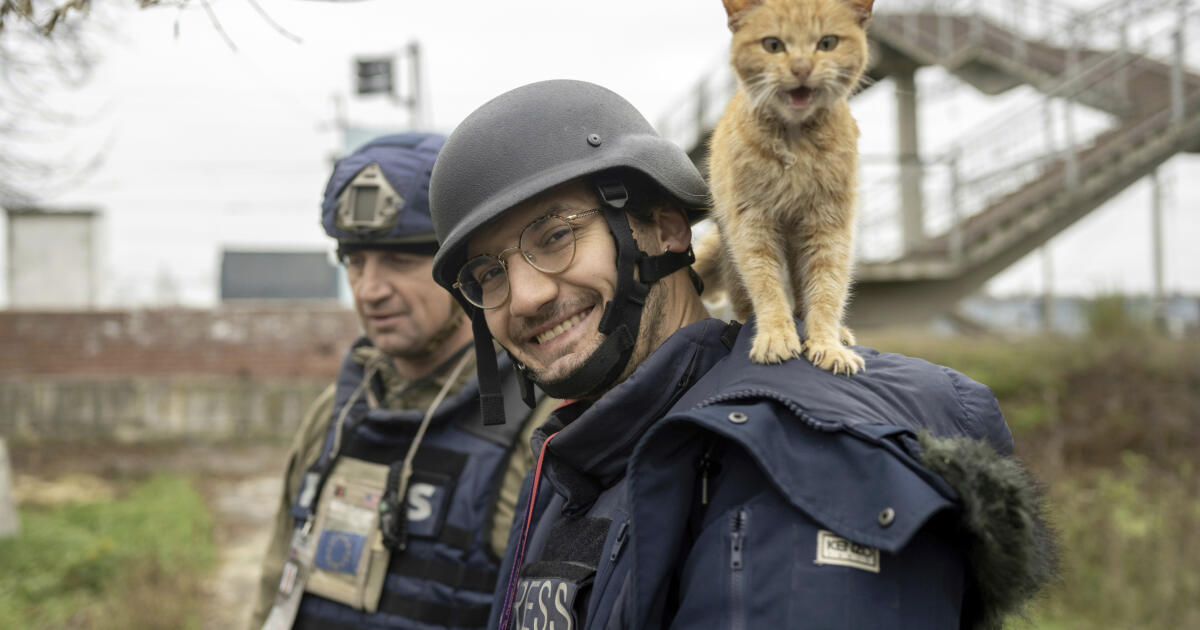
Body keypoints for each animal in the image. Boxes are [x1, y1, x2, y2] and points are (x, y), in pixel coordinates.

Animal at [700, 0, 868, 372]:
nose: (801, 67)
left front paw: (827, 344)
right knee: (744, 301)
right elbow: (766, 287)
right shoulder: (752, 225)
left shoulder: (829, 225)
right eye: (773, 45)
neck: (796, 144)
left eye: (827, 43)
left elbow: (827, 288)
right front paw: (775, 337)